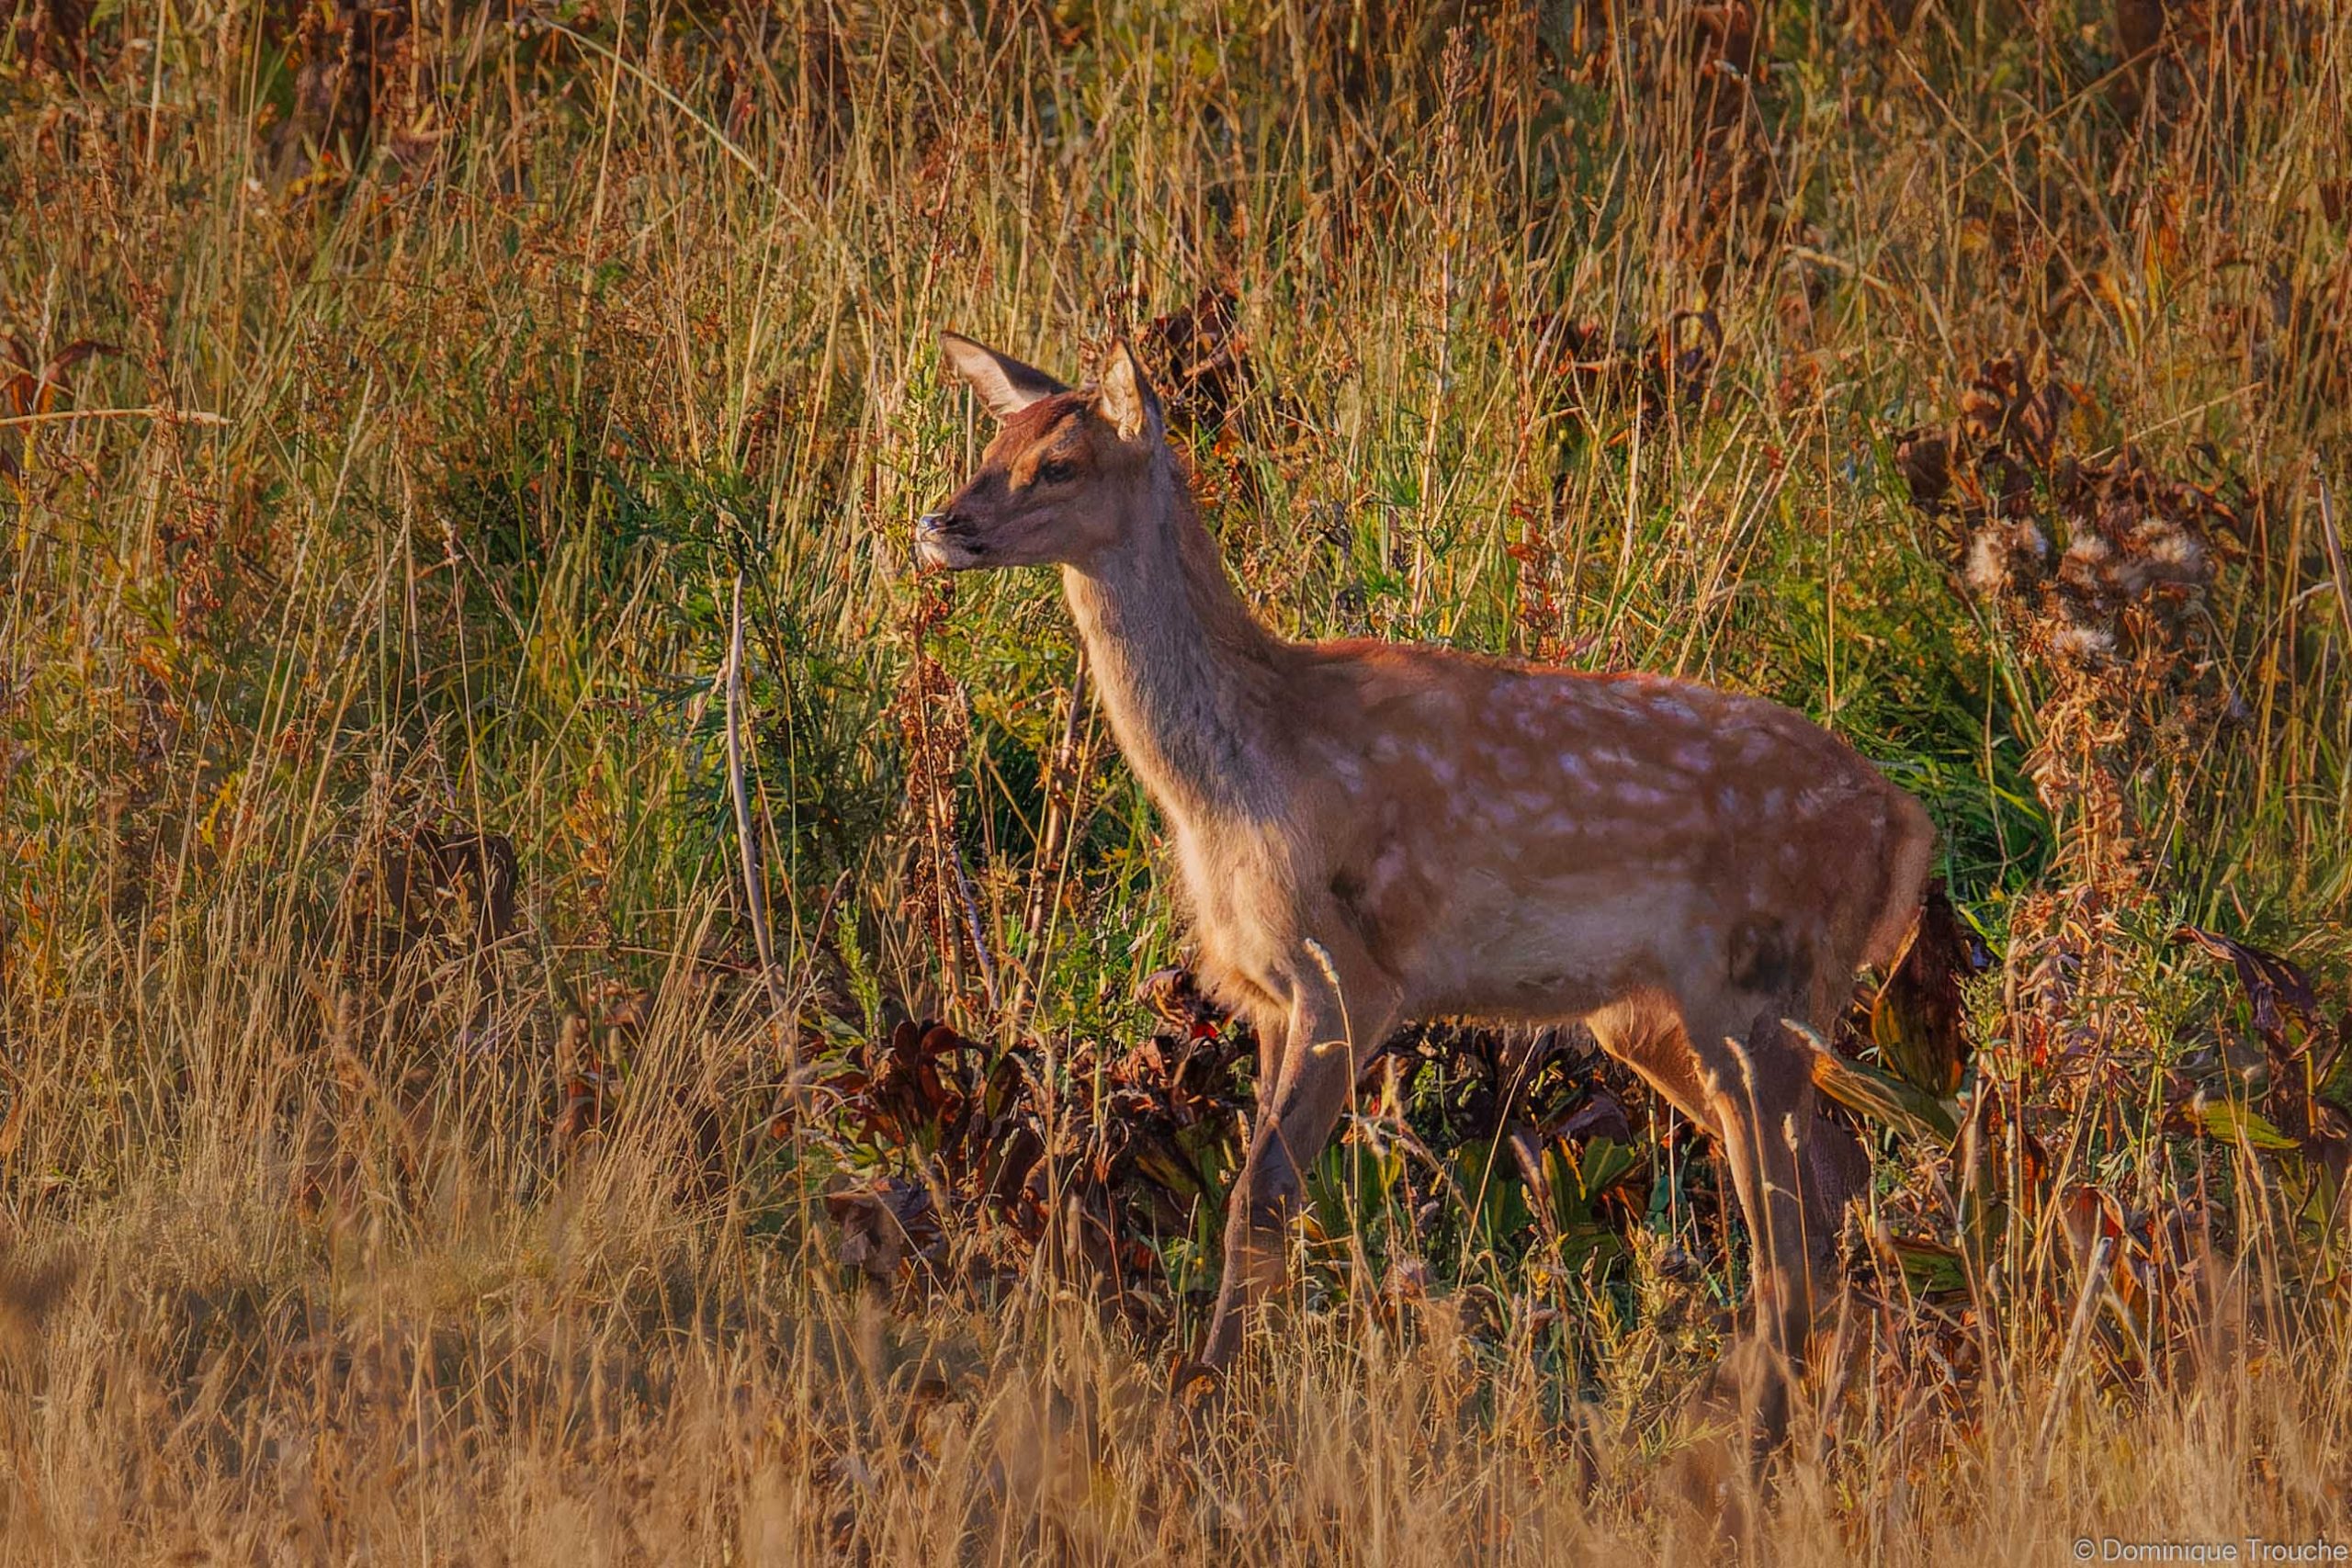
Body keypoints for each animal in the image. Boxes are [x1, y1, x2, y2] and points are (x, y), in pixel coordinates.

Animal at [916, 329, 1935, 1445]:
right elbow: (1264, 1197)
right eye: (993, 439)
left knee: (1791, 1233)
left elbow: (1259, 1196)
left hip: (1758, 992)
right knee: (1834, 1186)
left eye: (1059, 463)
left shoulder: (1351, 978)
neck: (1245, 771)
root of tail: (1903, 824)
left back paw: (1759, 1443)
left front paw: (1206, 1408)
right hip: (1662, 1019)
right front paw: (1229, 1389)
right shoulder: (1266, 993)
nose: (940, 524)